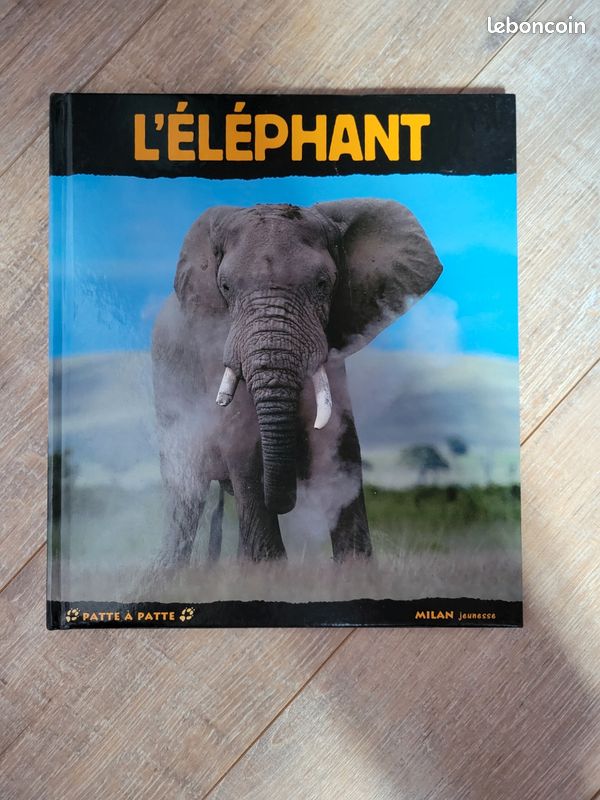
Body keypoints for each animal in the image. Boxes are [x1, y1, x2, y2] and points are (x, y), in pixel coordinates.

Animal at [151, 198, 442, 565]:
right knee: (185, 489)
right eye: (226, 288)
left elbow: (341, 442)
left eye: (322, 285)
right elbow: (241, 440)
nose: (286, 501)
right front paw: (267, 569)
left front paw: (356, 567)